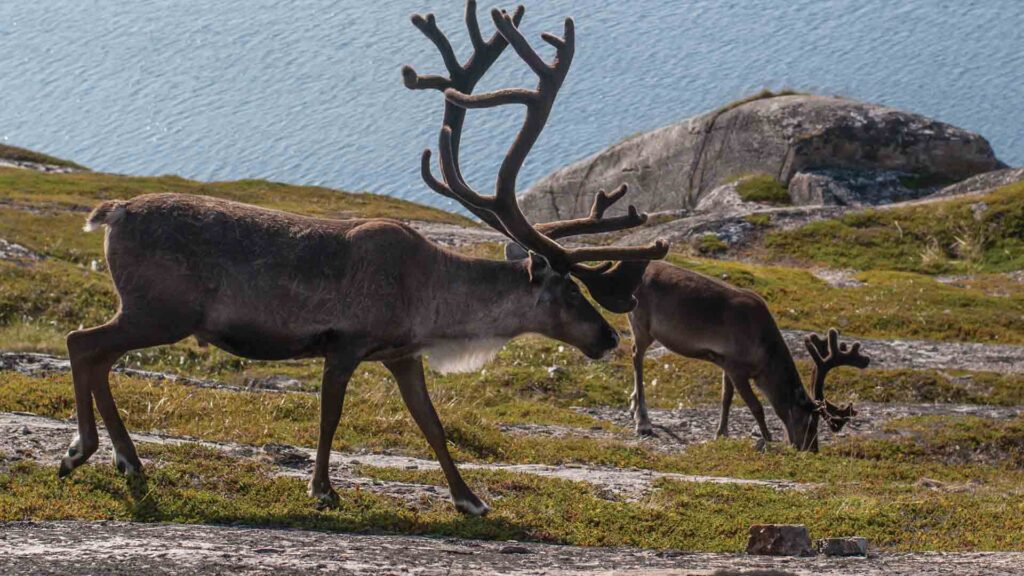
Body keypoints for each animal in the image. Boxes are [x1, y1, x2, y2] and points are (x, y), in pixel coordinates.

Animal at [60, 1, 667, 516]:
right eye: (569, 291)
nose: (608, 338)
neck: (432, 303)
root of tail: (111, 213)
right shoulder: (345, 343)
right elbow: (330, 416)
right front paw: (323, 489)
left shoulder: (402, 354)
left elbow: (432, 423)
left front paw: (470, 499)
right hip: (161, 310)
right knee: (82, 342)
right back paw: (91, 453)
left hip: (151, 312)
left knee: (96, 353)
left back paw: (117, 457)